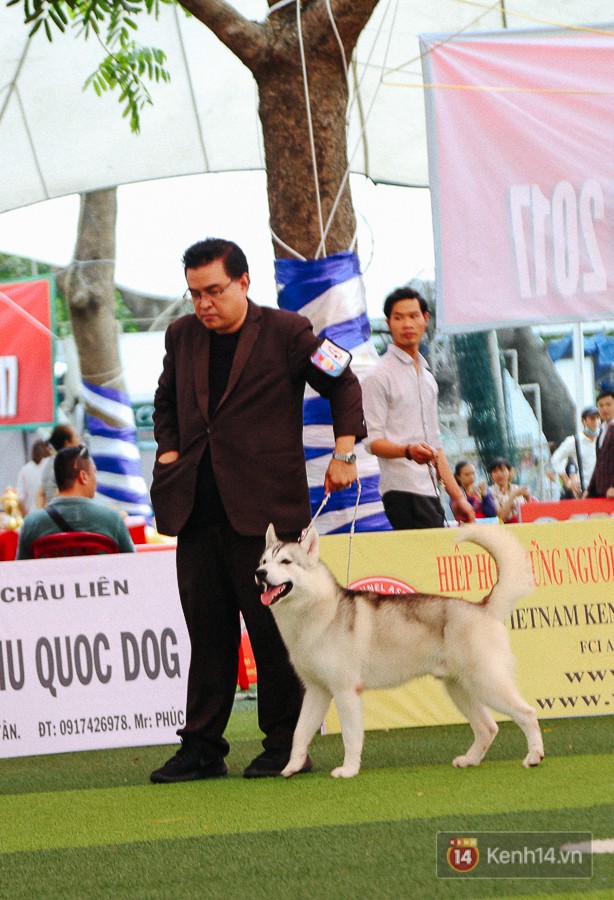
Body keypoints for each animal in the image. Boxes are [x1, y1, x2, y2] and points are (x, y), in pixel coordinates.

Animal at [258, 524, 548, 776]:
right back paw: (470, 760)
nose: (260, 574)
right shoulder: (317, 691)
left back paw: (534, 756)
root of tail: (483, 607)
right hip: (459, 689)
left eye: (285, 562)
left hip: (486, 682)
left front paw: (349, 770)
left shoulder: (345, 691)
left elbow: (351, 737)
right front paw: (291, 767)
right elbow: (300, 733)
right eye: (263, 561)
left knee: (527, 713)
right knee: (488, 728)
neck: (315, 614)